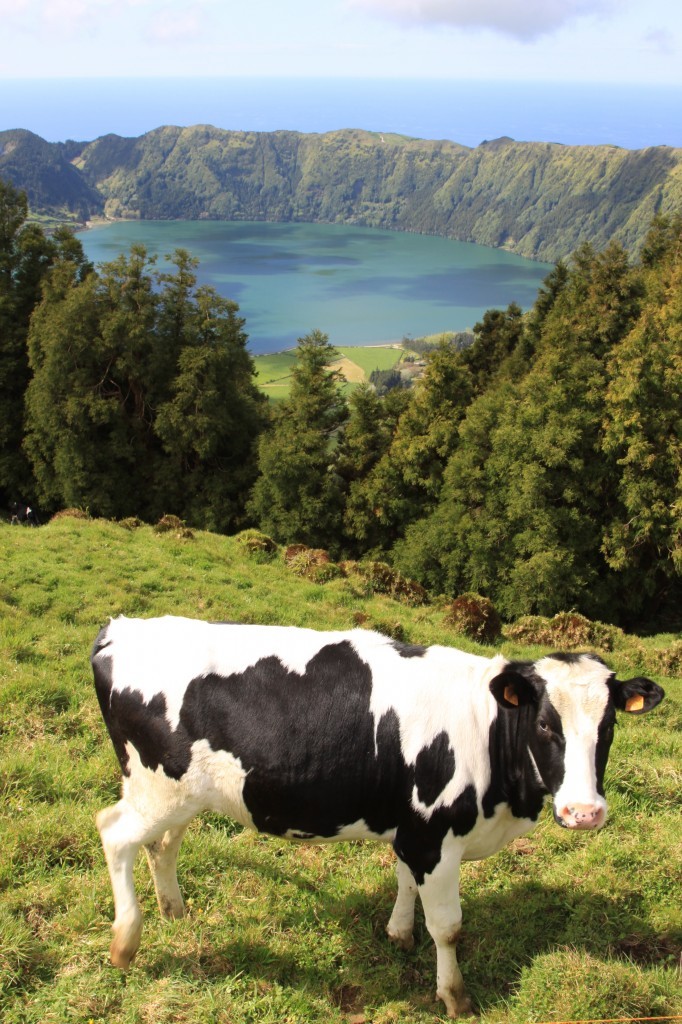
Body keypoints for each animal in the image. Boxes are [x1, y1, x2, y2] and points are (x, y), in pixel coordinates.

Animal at [91, 614, 663, 1015]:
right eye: (545, 724)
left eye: (609, 725)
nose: (584, 812)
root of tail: (122, 628)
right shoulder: (435, 835)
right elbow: (448, 927)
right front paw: (454, 996)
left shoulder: (413, 830)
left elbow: (405, 882)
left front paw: (398, 933)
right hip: (158, 789)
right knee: (115, 833)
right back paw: (126, 944)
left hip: (178, 792)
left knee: (162, 844)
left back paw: (175, 912)